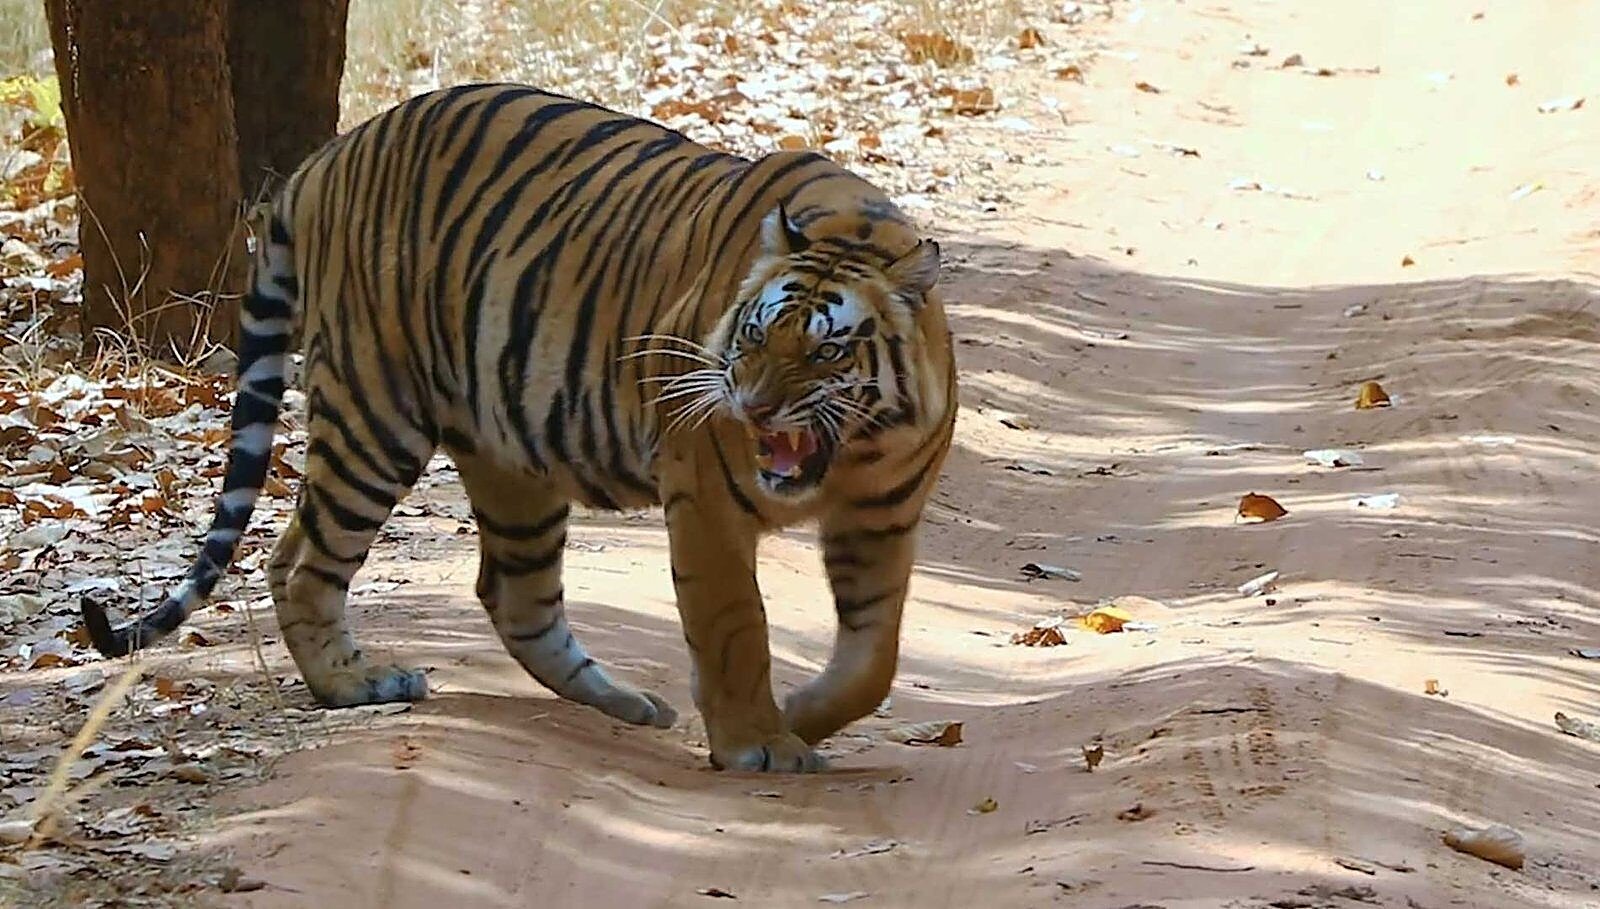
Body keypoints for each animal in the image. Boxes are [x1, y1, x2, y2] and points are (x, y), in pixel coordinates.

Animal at [81, 82, 957, 773]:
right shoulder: (706, 497)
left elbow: (874, 658)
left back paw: (631, 704)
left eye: (827, 348)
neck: (851, 456)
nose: (752, 405)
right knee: (301, 561)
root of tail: (327, 157)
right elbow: (735, 622)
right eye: (752, 335)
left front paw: (801, 713)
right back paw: (356, 684)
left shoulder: (881, 519)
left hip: (510, 457)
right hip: (376, 413)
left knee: (511, 593)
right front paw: (759, 740)